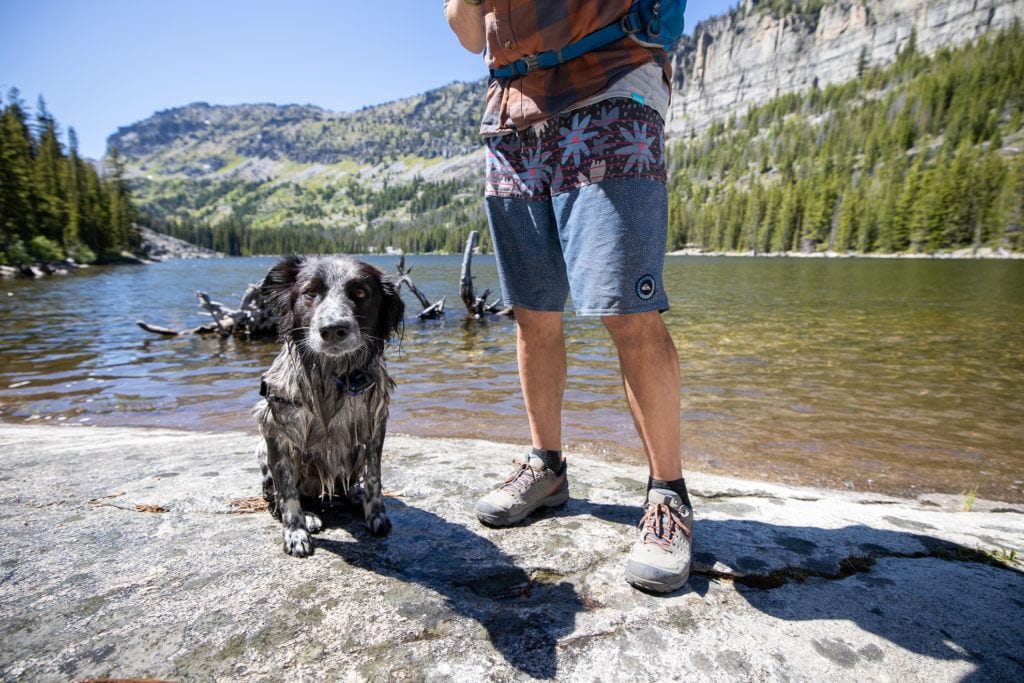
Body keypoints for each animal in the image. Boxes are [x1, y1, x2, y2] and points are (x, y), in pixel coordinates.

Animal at [251, 253, 403, 557]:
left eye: (360, 293)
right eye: (310, 292)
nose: (332, 330)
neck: (334, 375)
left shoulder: (374, 425)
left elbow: (374, 478)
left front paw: (375, 514)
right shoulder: (276, 432)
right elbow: (287, 494)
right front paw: (296, 532)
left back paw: (354, 495)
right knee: (277, 499)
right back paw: (309, 515)